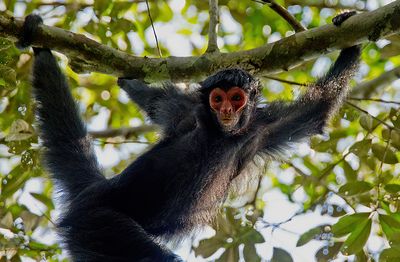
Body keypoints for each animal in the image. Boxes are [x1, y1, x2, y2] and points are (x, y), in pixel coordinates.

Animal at [17, 11, 360, 262]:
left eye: (237, 98)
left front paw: (350, 39)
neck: (220, 136)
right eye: (217, 99)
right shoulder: (187, 116)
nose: (226, 110)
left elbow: (317, 110)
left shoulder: (260, 129)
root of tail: (95, 191)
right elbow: (157, 101)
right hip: (97, 221)